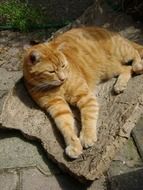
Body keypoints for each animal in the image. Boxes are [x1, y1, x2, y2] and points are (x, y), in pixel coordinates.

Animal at [22, 26, 143, 158]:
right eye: (51, 72)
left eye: (63, 66)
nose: (63, 78)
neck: (59, 87)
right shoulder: (57, 107)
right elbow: (65, 126)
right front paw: (74, 145)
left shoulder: (85, 97)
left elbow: (88, 118)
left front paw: (87, 136)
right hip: (110, 68)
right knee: (127, 69)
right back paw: (120, 85)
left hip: (121, 52)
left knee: (135, 55)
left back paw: (138, 66)